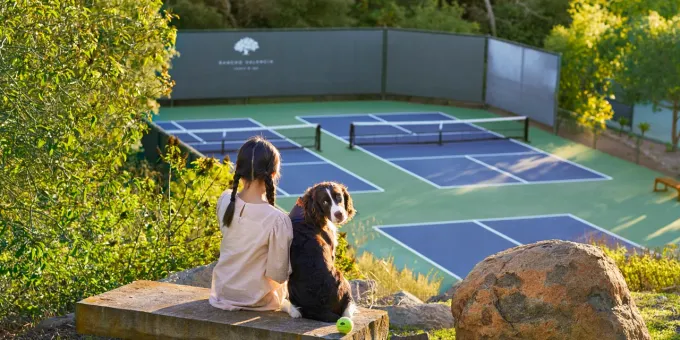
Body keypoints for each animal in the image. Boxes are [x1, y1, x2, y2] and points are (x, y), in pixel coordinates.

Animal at [286, 181, 358, 322]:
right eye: (324, 202)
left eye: (339, 197)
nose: (339, 214)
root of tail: (320, 309)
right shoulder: (332, 248)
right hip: (342, 278)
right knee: (346, 308)